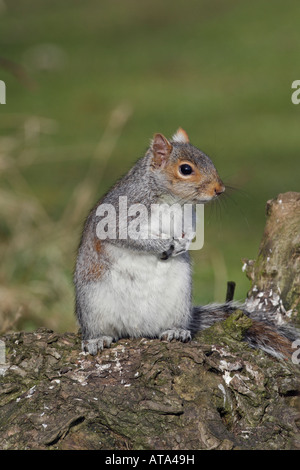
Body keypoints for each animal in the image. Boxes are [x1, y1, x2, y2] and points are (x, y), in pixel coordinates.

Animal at [74, 129, 298, 360]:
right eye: (186, 169)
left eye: (209, 160)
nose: (219, 189)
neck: (172, 200)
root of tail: (137, 329)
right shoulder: (118, 214)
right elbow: (124, 235)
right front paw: (163, 243)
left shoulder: (189, 220)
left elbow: (190, 235)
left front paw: (183, 244)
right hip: (93, 304)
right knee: (99, 328)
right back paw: (97, 339)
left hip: (178, 302)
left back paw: (176, 331)